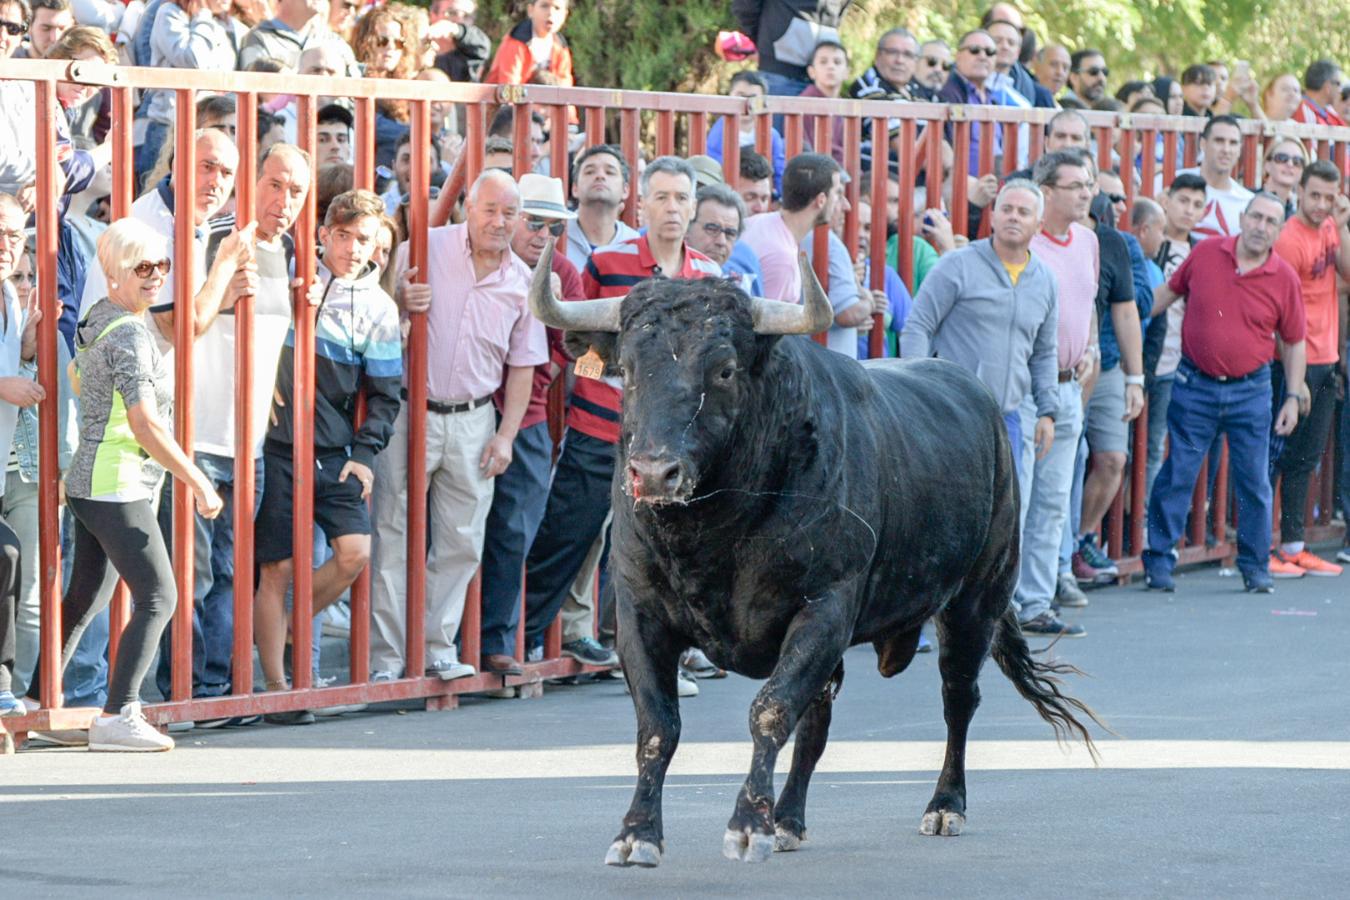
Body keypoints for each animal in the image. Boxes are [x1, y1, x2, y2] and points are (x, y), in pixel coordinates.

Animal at [526, 246, 1096, 863]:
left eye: (724, 369)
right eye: (627, 371)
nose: (654, 473)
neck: (712, 537)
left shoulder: (824, 608)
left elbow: (770, 710)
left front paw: (746, 825)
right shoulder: (640, 613)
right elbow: (659, 725)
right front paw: (637, 834)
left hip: (975, 600)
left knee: (957, 698)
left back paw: (944, 806)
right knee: (819, 717)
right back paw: (789, 819)